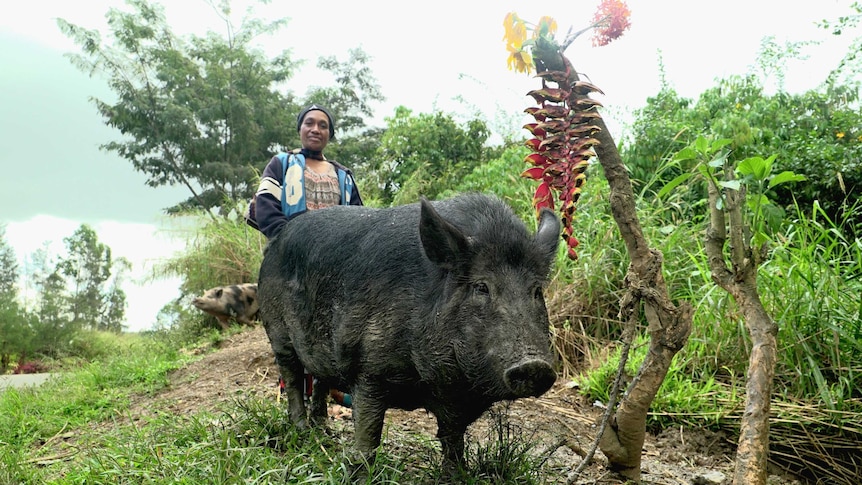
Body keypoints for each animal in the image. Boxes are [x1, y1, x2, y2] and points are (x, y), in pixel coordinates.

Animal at [258, 193, 560, 468]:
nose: (534, 365)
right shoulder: (368, 368)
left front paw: (457, 474)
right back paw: (302, 430)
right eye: (481, 287)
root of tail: (275, 242)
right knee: (292, 376)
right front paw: (359, 468)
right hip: (277, 331)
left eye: (536, 291)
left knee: (320, 379)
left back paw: (324, 430)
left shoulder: (455, 402)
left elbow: (453, 440)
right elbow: (368, 434)